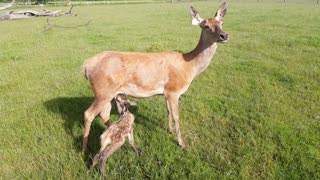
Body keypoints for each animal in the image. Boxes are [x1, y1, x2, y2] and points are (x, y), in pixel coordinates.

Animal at [82, 1, 228, 150]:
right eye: (206, 26)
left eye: (221, 23)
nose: (224, 36)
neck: (189, 66)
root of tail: (86, 65)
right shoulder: (174, 90)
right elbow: (176, 116)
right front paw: (181, 143)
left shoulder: (166, 92)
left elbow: (168, 111)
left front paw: (170, 131)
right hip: (103, 91)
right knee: (89, 114)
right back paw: (84, 148)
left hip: (109, 93)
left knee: (104, 114)